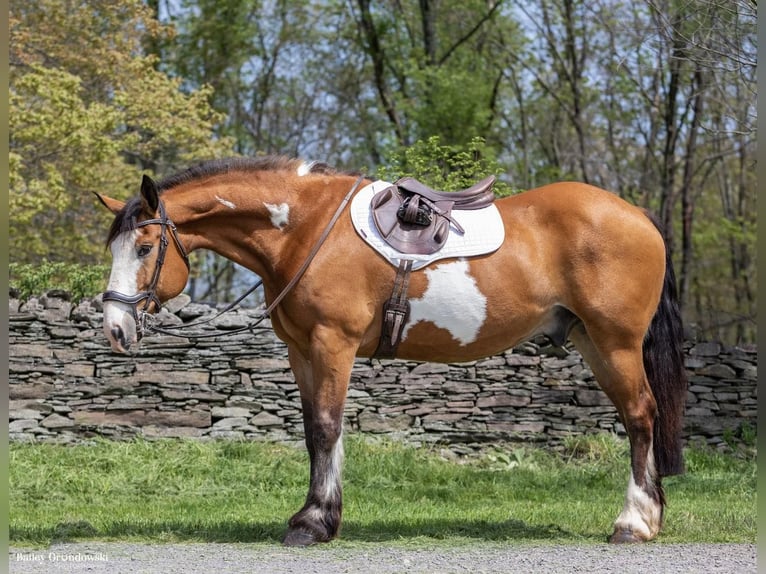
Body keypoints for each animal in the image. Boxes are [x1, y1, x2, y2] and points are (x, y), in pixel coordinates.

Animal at [96, 156, 688, 548]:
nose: (116, 329)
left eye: (144, 248)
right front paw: (316, 515)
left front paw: (314, 525)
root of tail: (637, 215)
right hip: (591, 340)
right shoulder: (301, 351)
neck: (305, 229)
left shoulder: (332, 343)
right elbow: (314, 432)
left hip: (615, 343)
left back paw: (633, 523)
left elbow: (326, 428)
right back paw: (650, 517)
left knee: (641, 418)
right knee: (639, 418)